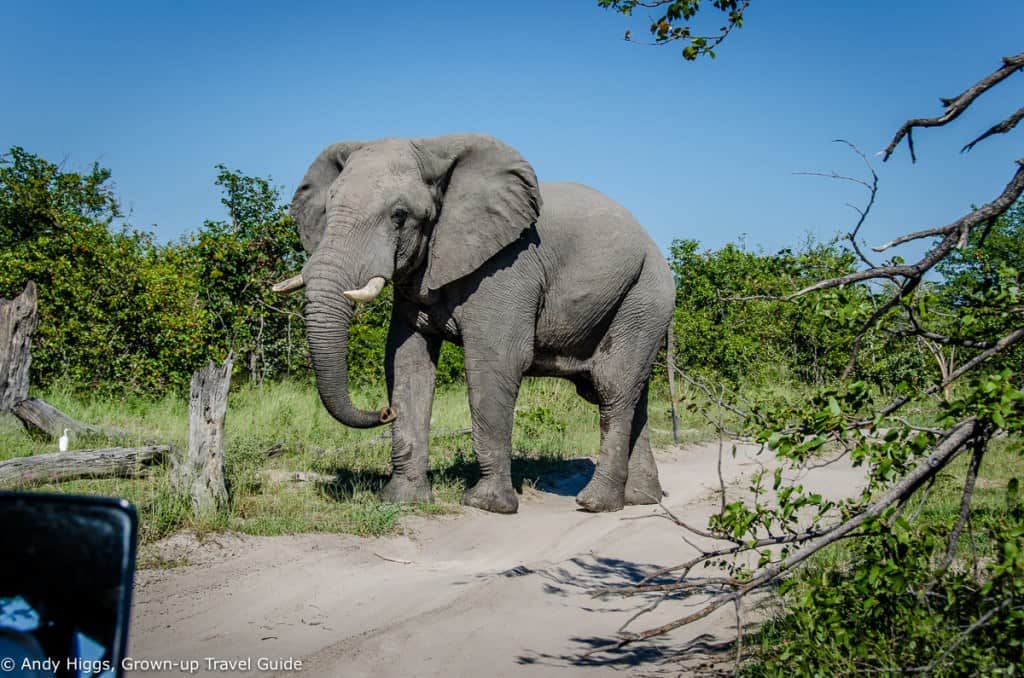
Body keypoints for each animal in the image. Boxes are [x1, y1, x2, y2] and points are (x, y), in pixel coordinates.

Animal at [272, 134, 675, 516]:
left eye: (399, 215)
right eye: (327, 209)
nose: (385, 412)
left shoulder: (508, 266)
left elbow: (495, 360)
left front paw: (487, 505)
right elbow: (407, 361)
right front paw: (402, 501)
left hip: (646, 295)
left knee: (612, 387)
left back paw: (596, 503)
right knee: (632, 394)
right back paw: (642, 499)